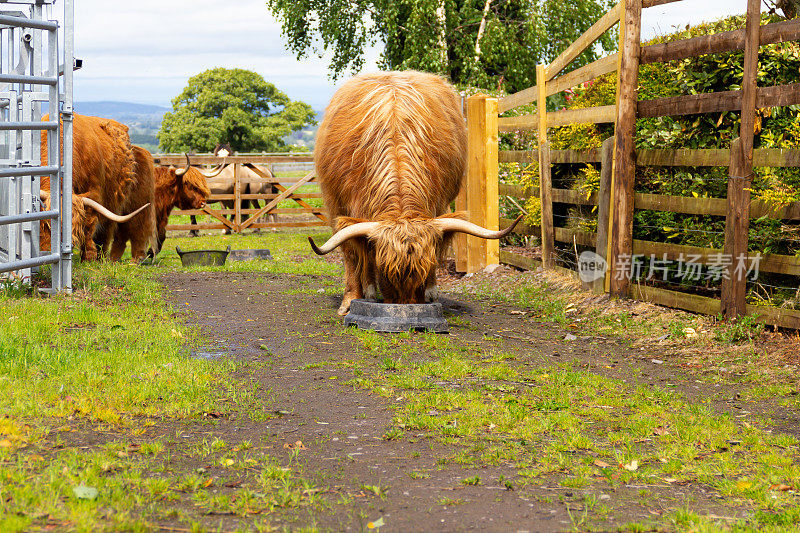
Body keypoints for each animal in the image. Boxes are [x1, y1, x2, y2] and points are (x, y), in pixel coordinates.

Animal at [40, 114, 148, 260]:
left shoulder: (94, 193)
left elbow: (89, 226)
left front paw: (88, 257)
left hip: (114, 203)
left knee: (106, 233)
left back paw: (100, 257)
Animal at [306, 69, 520, 314]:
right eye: (385, 272)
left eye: (425, 271)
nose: (407, 306)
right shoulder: (337, 206)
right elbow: (352, 252)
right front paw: (350, 300)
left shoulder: (439, 204)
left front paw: (430, 291)